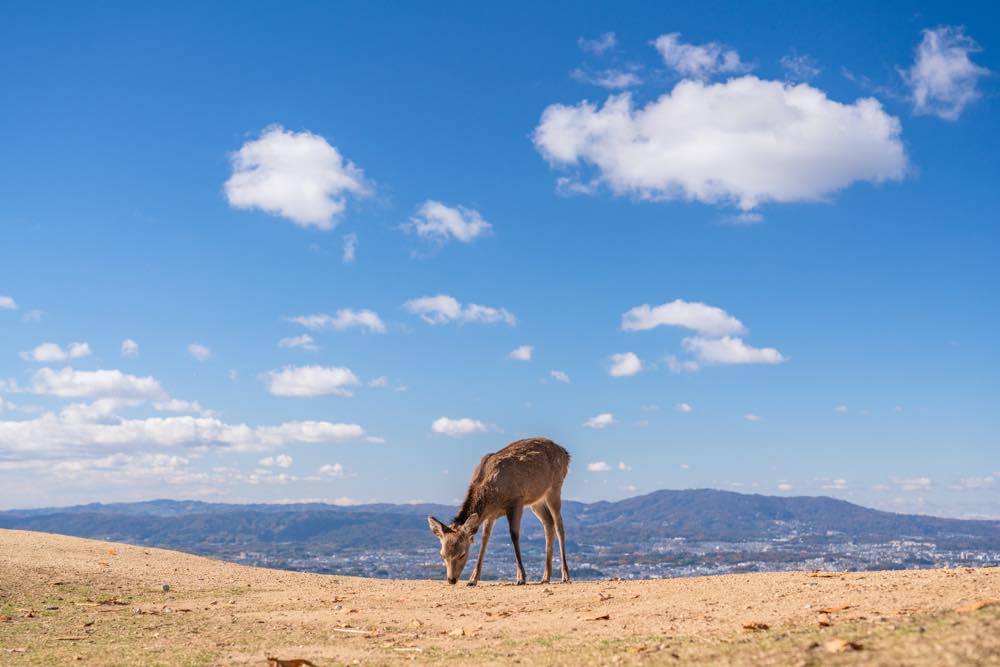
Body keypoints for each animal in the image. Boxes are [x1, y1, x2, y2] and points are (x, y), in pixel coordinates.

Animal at [428, 440, 572, 588]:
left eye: (462, 554)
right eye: (442, 555)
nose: (451, 579)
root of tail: (566, 454)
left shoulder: (516, 501)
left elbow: (514, 535)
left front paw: (521, 578)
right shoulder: (490, 515)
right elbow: (484, 539)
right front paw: (472, 580)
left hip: (555, 487)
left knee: (559, 525)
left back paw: (565, 576)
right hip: (536, 500)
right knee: (548, 523)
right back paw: (545, 577)